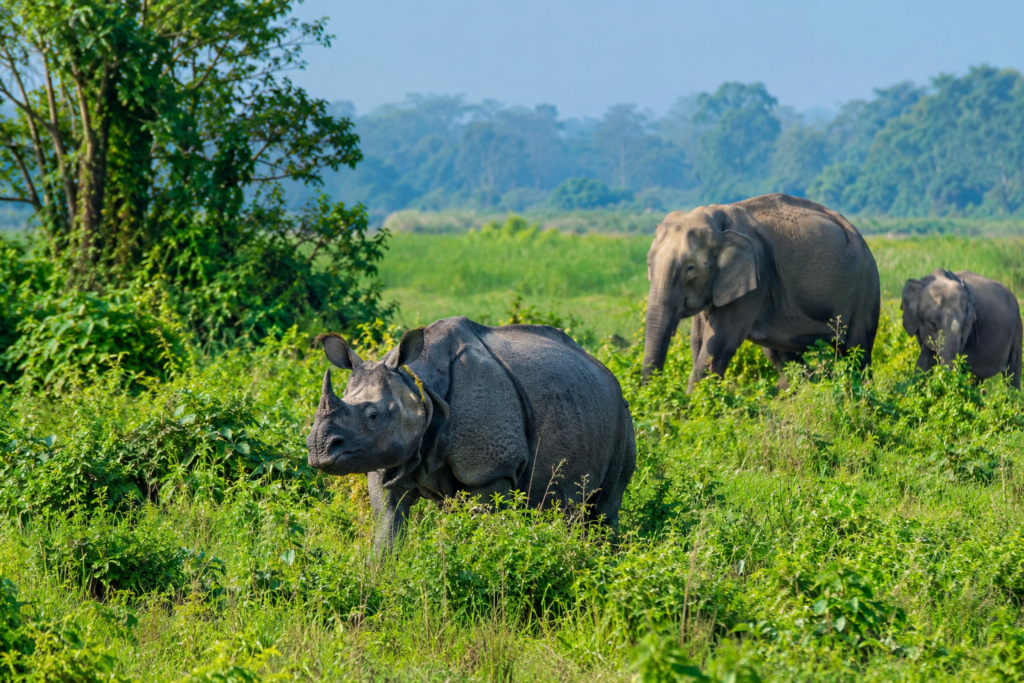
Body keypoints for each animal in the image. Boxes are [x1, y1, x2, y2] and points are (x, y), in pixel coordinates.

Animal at [306, 316, 637, 553]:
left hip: (622, 414)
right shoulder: (387, 459)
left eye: (373, 416)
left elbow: (483, 528)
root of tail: (602, 367)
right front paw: (381, 581)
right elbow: (388, 527)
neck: (419, 385)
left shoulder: (492, 471)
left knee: (604, 507)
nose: (319, 448)